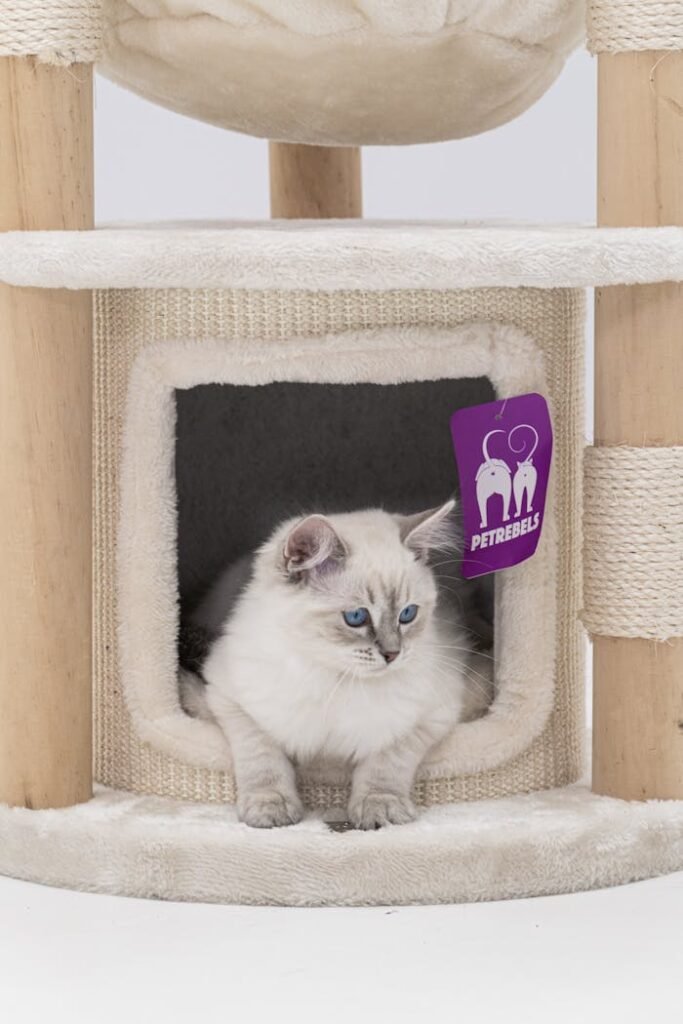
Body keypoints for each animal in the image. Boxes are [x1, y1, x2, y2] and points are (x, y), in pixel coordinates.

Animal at [184, 499, 489, 827]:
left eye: (408, 614)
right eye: (356, 617)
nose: (392, 654)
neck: (336, 677)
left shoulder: (433, 712)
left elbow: (387, 762)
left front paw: (379, 809)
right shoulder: (230, 699)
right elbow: (263, 758)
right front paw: (271, 808)